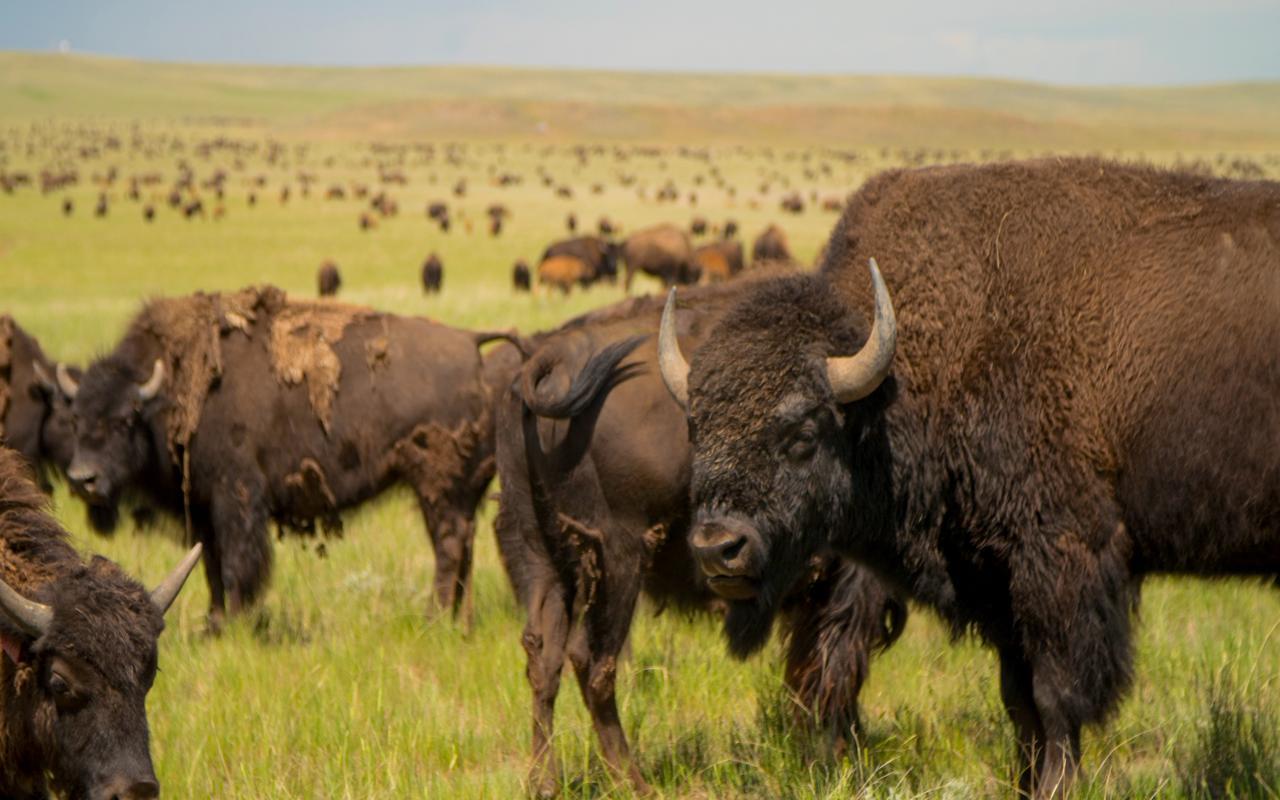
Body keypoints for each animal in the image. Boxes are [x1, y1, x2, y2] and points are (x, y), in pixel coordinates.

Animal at [60, 286, 501, 629]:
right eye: (75, 417)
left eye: (125, 419)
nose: (83, 480)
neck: (169, 389)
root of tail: (470, 343)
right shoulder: (204, 510)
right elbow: (209, 565)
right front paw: (214, 623)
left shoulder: (236, 497)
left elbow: (236, 564)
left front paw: (236, 624)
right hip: (460, 494)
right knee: (464, 545)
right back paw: (459, 621)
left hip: (437, 488)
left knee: (448, 545)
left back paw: (434, 618)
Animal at [494, 273, 906, 793]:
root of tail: (549, 364)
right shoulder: (848, 584)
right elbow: (835, 665)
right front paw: (844, 757)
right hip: (618, 558)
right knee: (592, 661)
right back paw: (633, 781)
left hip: (540, 556)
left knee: (542, 657)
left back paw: (544, 782)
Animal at [660, 156, 1280, 793]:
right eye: (696, 429)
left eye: (803, 434)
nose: (717, 547)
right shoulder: (995, 580)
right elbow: (1020, 701)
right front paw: (1026, 782)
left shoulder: (1058, 562)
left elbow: (1057, 695)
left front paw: (1055, 786)